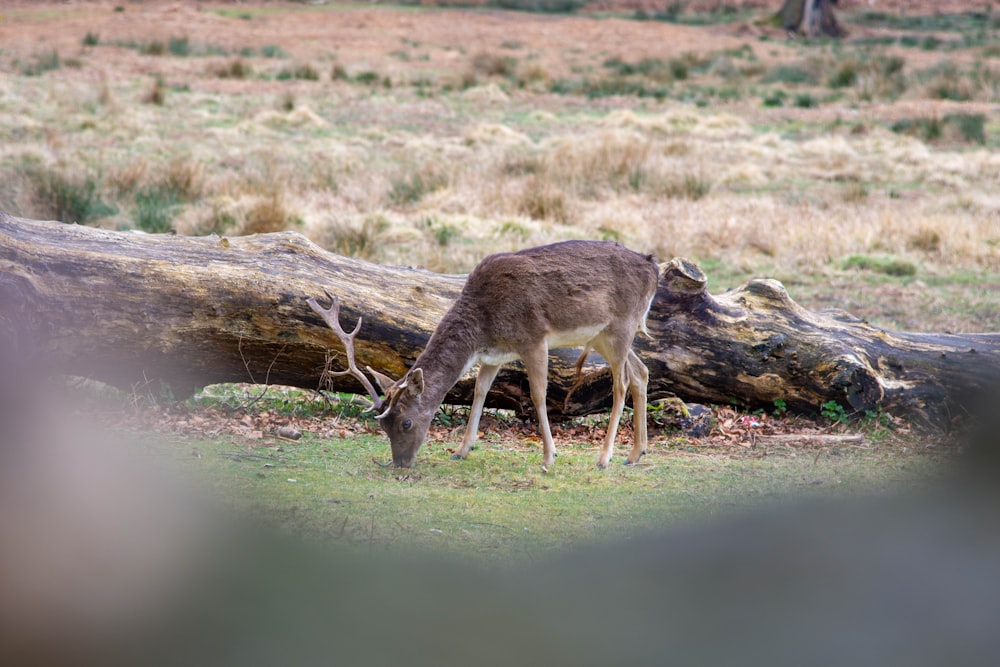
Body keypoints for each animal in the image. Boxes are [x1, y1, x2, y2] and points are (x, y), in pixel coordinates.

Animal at [308, 239, 660, 470]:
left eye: (406, 423)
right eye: (383, 426)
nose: (400, 463)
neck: (483, 326)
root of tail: (653, 266)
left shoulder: (534, 338)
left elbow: (538, 394)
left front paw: (549, 458)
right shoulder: (494, 356)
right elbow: (480, 391)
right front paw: (462, 449)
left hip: (621, 326)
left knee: (621, 383)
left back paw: (605, 457)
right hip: (604, 337)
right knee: (641, 372)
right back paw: (636, 454)